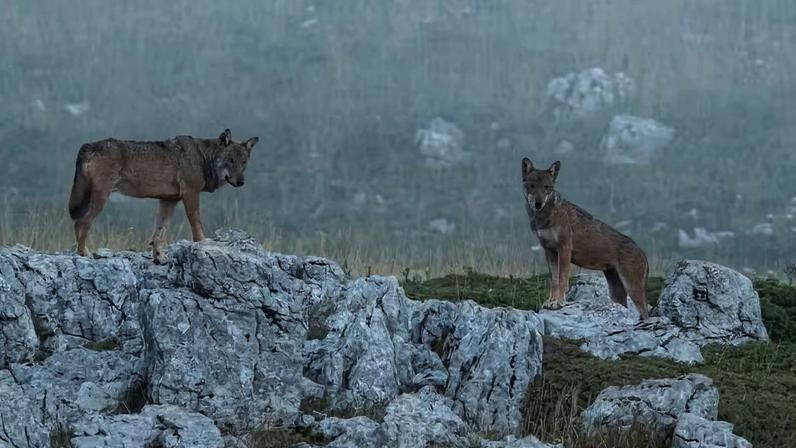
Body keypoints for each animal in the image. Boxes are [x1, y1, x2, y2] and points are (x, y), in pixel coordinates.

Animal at [68, 129, 258, 263]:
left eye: (243, 162)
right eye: (230, 160)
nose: (241, 181)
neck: (203, 157)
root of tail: (88, 145)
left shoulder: (168, 200)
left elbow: (159, 233)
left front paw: (158, 257)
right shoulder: (190, 194)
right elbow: (196, 224)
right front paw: (203, 242)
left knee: (80, 223)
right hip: (101, 197)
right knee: (81, 222)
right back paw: (84, 254)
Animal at [521, 157, 650, 319]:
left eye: (546, 187)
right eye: (532, 186)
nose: (538, 204)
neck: (545, 217)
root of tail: (643, 253)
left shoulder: (564, 248)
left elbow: (562, 279)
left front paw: (559, 302)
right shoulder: (549, 251)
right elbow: (554, 280)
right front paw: (550, 302)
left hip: (633, 290)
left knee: (645, 312)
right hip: (616, 293)